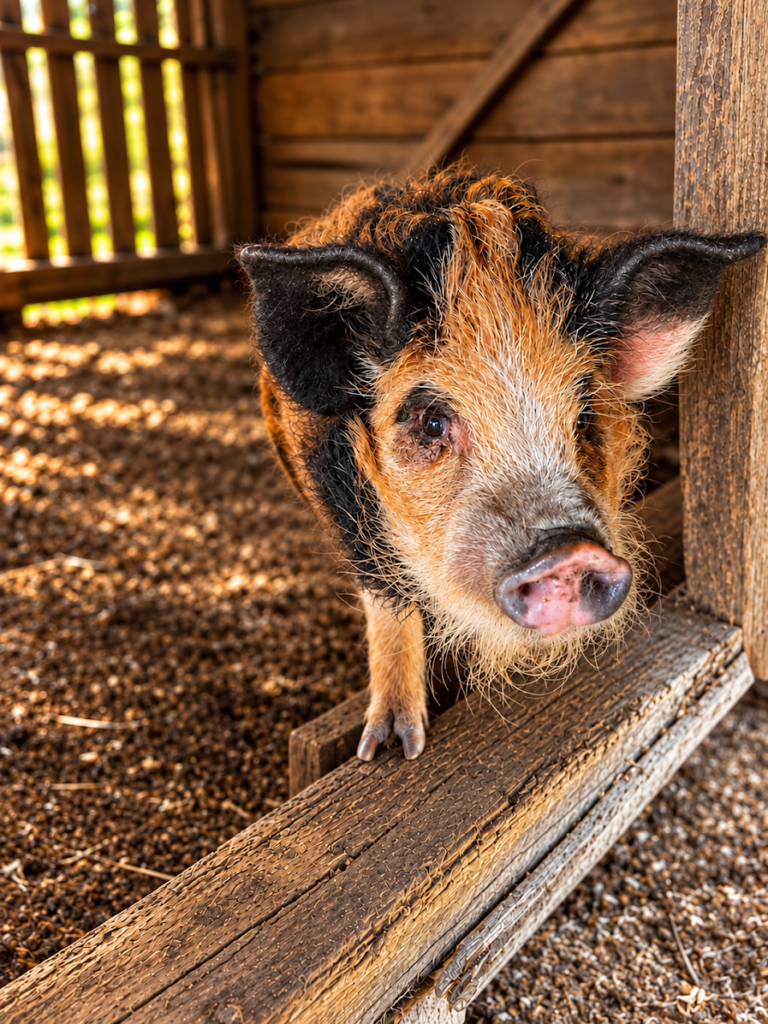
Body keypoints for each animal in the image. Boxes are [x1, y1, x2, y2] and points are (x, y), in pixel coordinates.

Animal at [238, 167, 765, 762]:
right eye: (431, 422)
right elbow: (390, 603)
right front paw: (393, 751)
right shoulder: (347, 513)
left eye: (584, 412)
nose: (568, 550)